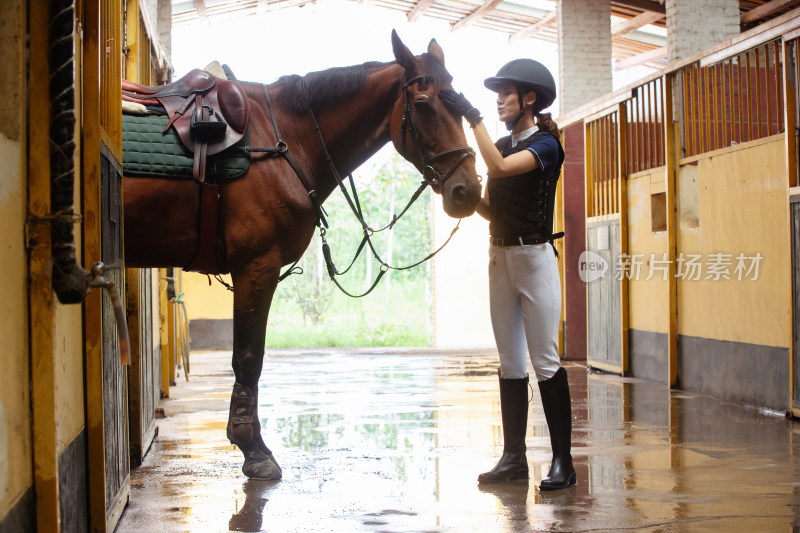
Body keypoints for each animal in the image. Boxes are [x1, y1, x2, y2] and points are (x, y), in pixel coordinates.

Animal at [122, 29, 478, 478]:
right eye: (425, 104)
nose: (469, 190)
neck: (283, 141)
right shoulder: (256, 267)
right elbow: (249, 358)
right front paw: (253, 449)